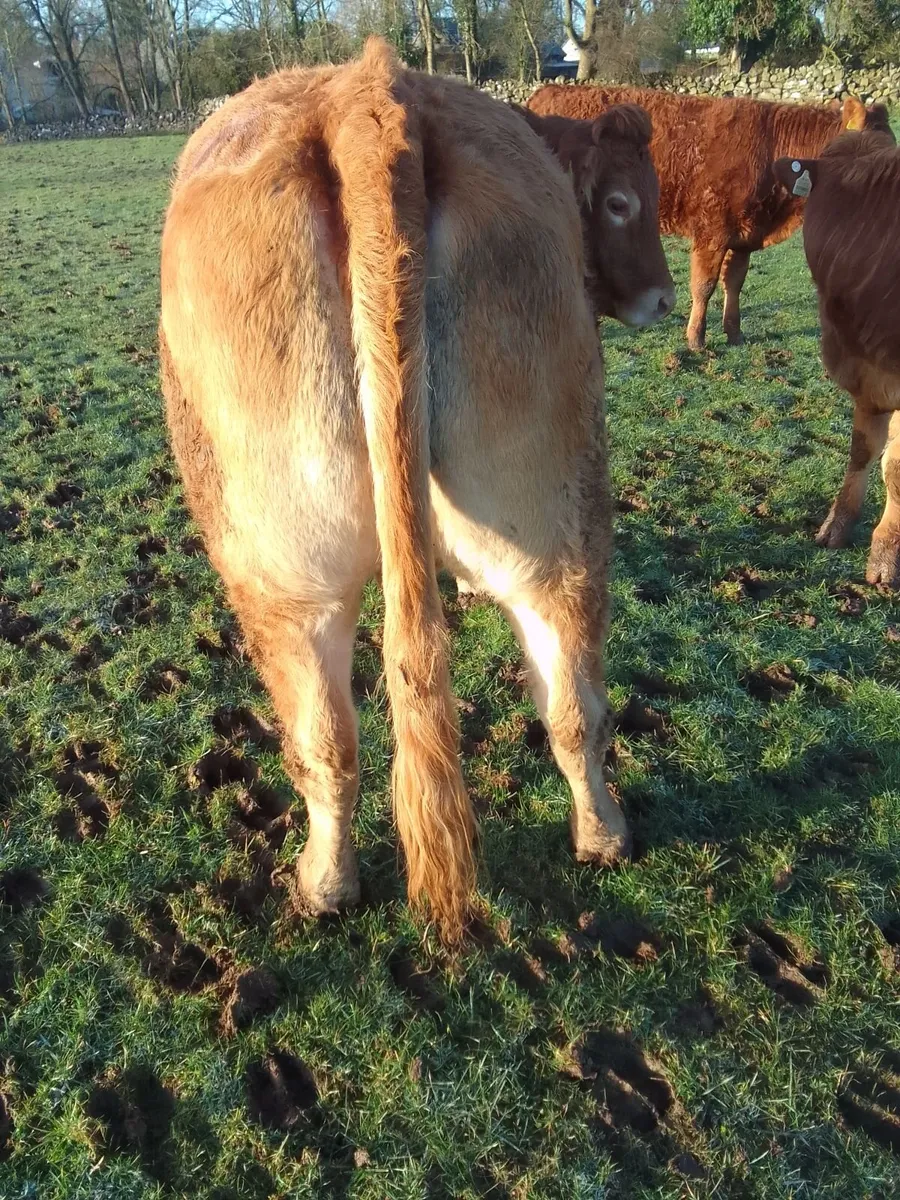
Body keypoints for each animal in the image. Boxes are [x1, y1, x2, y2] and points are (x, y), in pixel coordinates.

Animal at [159, 40, 674, 941]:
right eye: (620, 202)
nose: (663, 297)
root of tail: (368, 99)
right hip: (549, 503)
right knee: (568, 692)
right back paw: (603, 835)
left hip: (281, 569)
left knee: (323, 736)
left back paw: (323, 882)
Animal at [529, 84, 891, 349]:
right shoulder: (711, 231)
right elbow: (704, 286)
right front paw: (696, 339)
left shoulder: (745, 236)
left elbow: (735, 282)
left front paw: (734, 332)